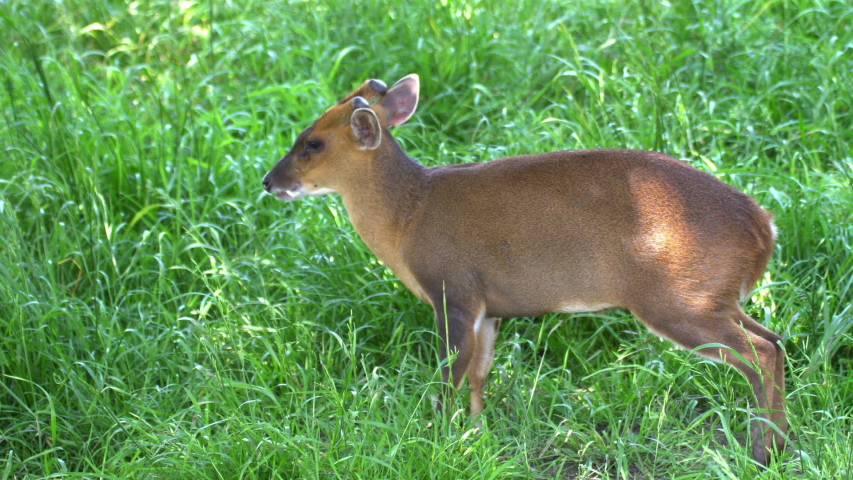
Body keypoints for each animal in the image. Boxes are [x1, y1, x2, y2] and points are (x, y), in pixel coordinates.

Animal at [262, 73, 788, 464]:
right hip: (716, 294)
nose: (269, 181)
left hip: (676, 296)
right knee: (775, 341)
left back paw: (762, 452)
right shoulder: (489, 307)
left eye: (311, 143)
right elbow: (480, 372)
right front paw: (477, 436)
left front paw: (438, 440)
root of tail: (764, 227)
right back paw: (780, 444)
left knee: (759, 352)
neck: (408, 215)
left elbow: (449, 376)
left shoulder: (453, 291)